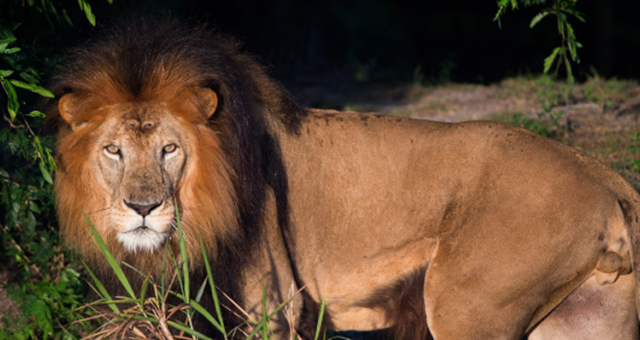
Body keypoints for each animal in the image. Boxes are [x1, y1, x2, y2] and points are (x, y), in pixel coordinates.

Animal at [48, 18, 640, 340]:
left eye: (170, 150)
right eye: (113, 151)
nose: (142, 208)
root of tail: (608, 177)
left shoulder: (271, 304)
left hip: (466, 304)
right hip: (588, 317)